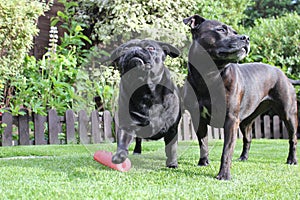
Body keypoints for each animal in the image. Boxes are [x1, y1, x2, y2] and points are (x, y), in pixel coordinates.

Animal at [110, 39, 180, 167]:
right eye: (124, 49)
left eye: (151, 48)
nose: (134, 49)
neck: (145, 91)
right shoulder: (127, 125)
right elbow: (122, 141)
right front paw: (119, 156)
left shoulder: (172, 128)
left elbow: (171, 148)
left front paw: (172, 163)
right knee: (138, 140)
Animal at [183, 14, 298, 180]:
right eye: (221, 29)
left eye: (235, 32)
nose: (246, 37)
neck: (210, 75)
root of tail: (284, 75)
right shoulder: (199, 118)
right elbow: (203, 142)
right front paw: (203, 162)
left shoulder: (231, 120)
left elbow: (227, 150)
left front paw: (224, 175)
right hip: (246, 120)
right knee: (248, 138)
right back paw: (243, 157)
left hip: (288, 114)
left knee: (293, 139)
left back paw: (292, 160)